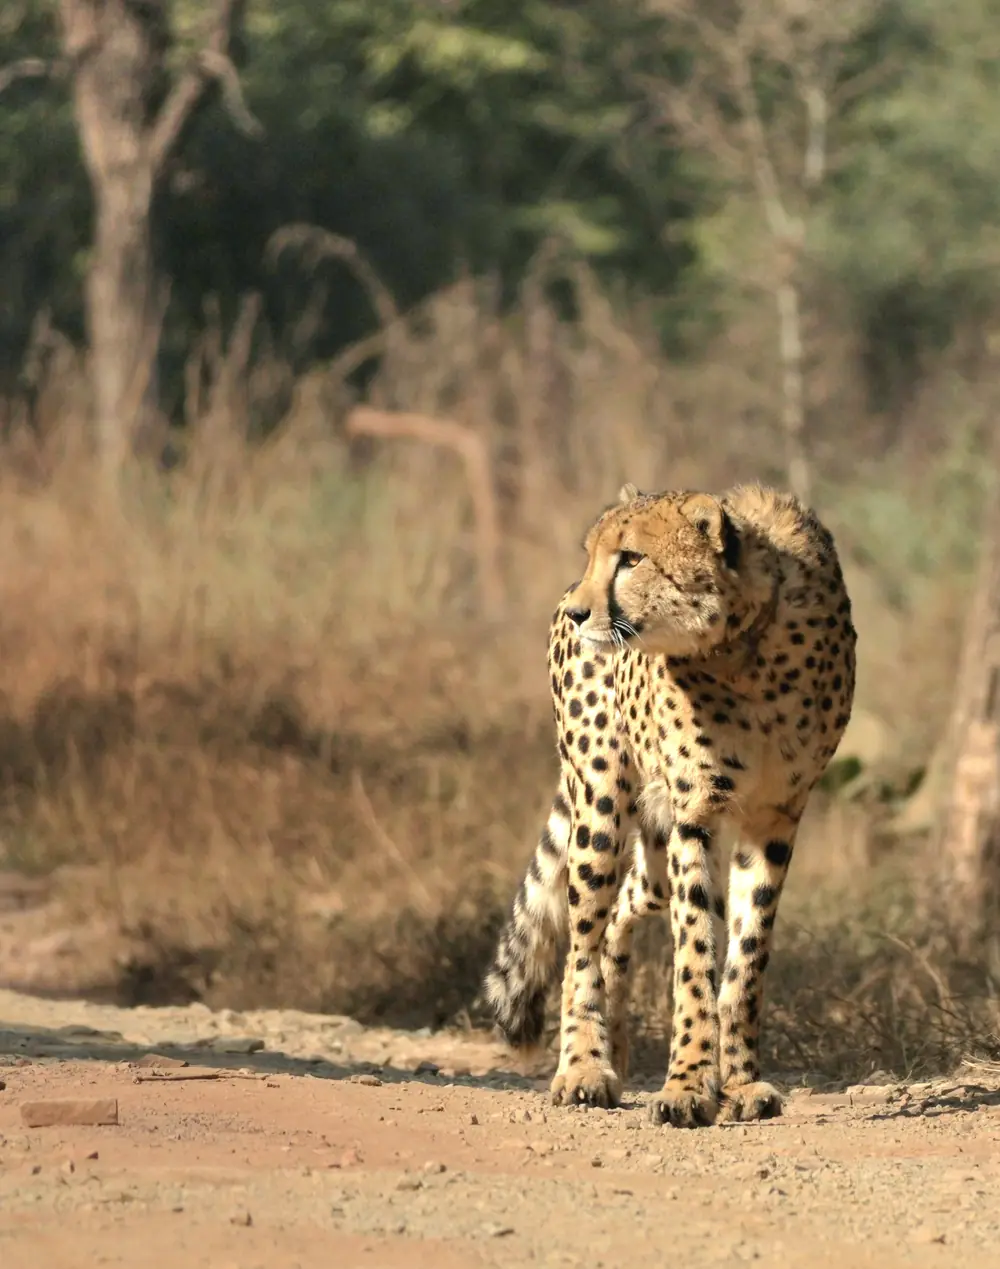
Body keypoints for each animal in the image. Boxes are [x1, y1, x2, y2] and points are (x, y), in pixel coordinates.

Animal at [483, 481, 856, 1128]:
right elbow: (695, 958)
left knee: (625, 910)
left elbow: (745, 963)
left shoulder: (775, 817)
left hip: (651, 842)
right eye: (595, 554)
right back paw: (583, 1070)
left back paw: (617, 1050)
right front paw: (687, 1085)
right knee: (582, 943)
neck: (744, 650)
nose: (580, 611)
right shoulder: (695, 815)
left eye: (631, 558)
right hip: (601, 807)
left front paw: (740, 1085)